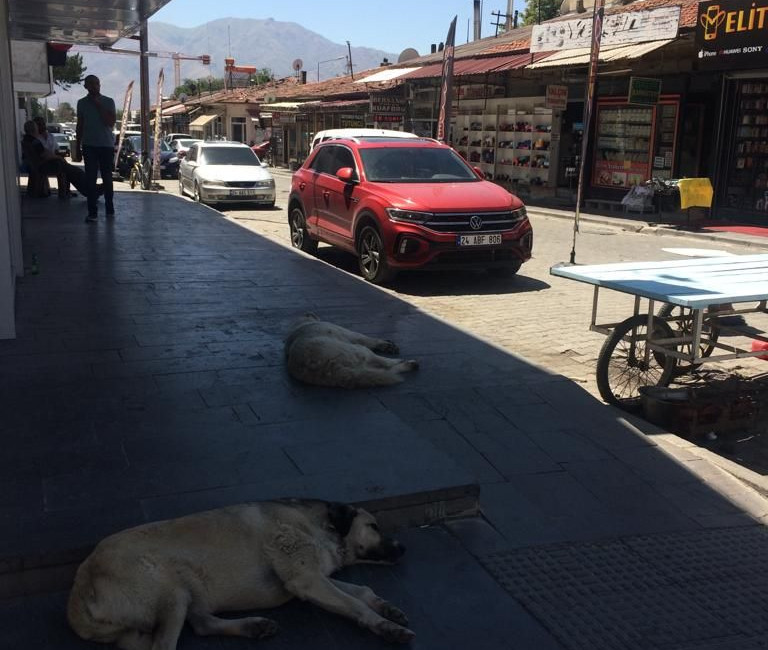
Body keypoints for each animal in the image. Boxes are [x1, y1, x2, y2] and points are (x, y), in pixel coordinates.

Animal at [66, 498, 414, 644]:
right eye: (374, 526)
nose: (403, 547)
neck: (319, 525)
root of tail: (79, 588)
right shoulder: (307, 580)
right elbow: (354, 603)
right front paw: (385, 626)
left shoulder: (317, 578)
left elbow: (362, 591)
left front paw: (387, 608)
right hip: (169, 591)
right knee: (165, 645)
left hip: (186, 592)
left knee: (202, 625)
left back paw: (253, 627)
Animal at [284, 312, 420, 388]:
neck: (301, 324)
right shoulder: (352, 335)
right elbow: (368, 339)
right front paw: (385, 344)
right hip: (359, 351)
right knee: (385, 364)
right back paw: (406, 363)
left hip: (359, 365)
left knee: (385, 371)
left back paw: (409, 365)